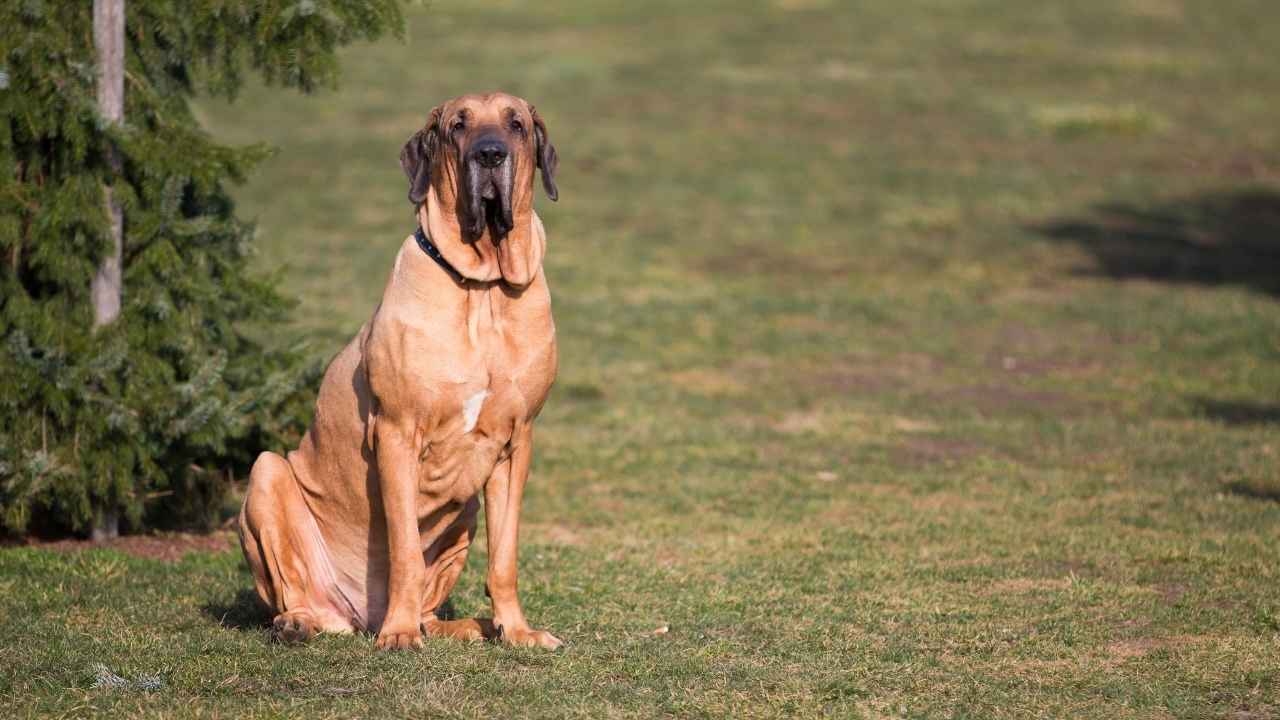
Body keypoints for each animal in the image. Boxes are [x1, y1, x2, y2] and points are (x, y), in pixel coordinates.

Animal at [240, 92, 560, 648]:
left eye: (516, 124)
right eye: (458, 126)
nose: (491, 154)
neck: (483, 289)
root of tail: (358, 616)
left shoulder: (517, 442)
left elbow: (505, 556)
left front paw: (518, 631)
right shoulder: (396, 433)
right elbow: (406, 549)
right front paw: (400, 633)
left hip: (466, 510)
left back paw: (464, 625)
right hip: (266, 475)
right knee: (296, 592)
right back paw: (303, 622)